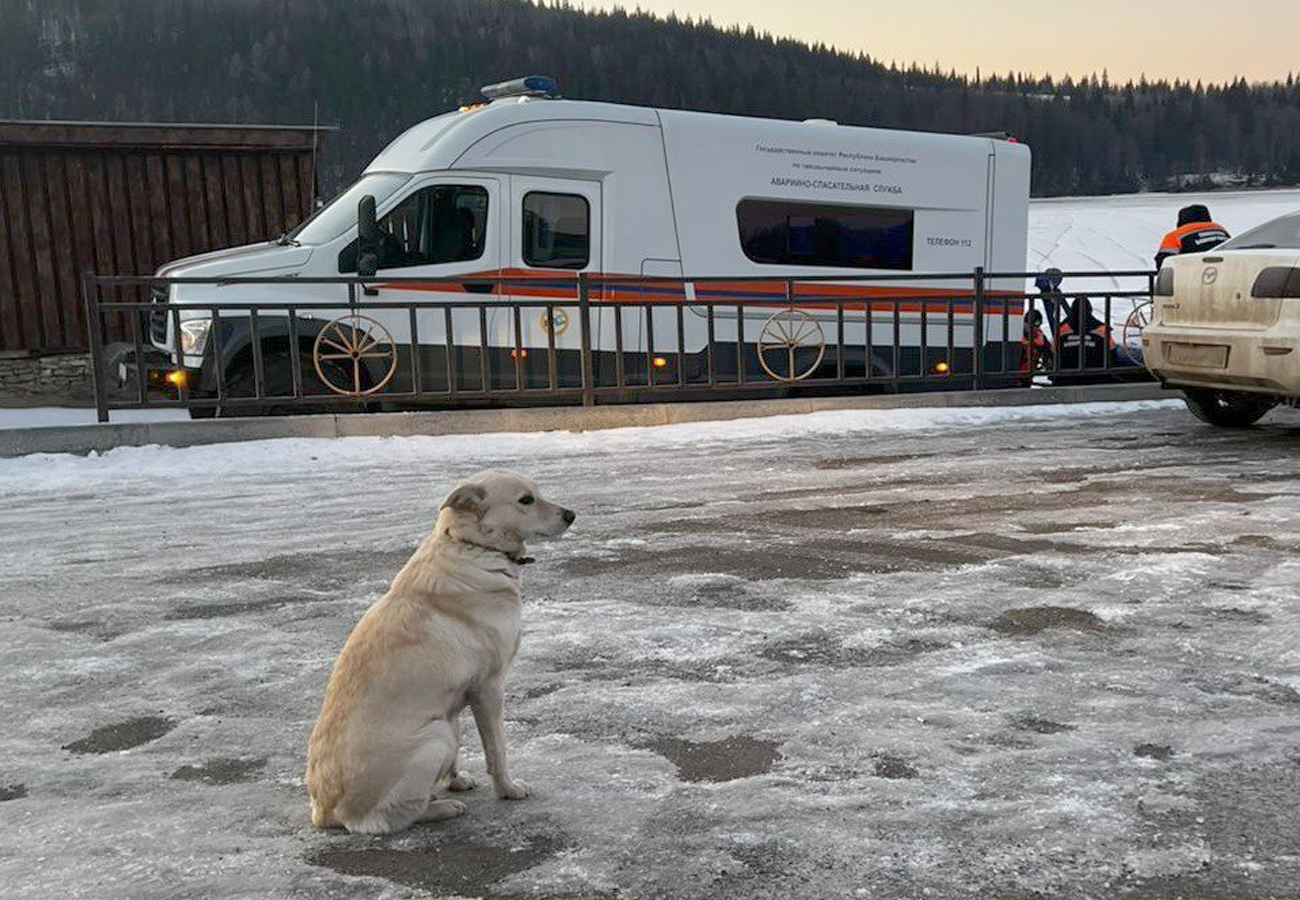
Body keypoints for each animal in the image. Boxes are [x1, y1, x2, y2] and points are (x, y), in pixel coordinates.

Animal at [304, 470, 574, 837]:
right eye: (526, 500)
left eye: (537, 493)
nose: (571, 514)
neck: (472, 546)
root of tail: (324, 812)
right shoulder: (489, 687)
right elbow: (497, 750)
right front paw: (507, 789)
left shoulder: (456, 699)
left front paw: (455, 780)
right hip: (435, 737)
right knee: (385, 819)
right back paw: (441, 808)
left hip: (443, 725)